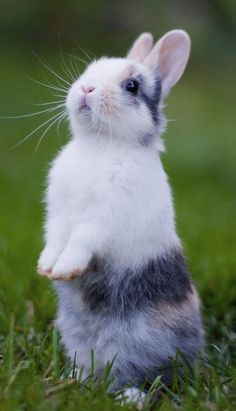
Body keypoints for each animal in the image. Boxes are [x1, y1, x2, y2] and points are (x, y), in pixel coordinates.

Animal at [37, 31, 205, 406]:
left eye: (132, 86)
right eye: (89, 70)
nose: (86, 89)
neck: (101, 143)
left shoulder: (102, 220)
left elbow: (80, 240)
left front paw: (66, 268)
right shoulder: (58, 215)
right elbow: (55, 239)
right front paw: (47, 268)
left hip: (137, 343)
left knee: (146, 376)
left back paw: (129, 397)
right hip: (79, 341)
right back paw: (73, 379)